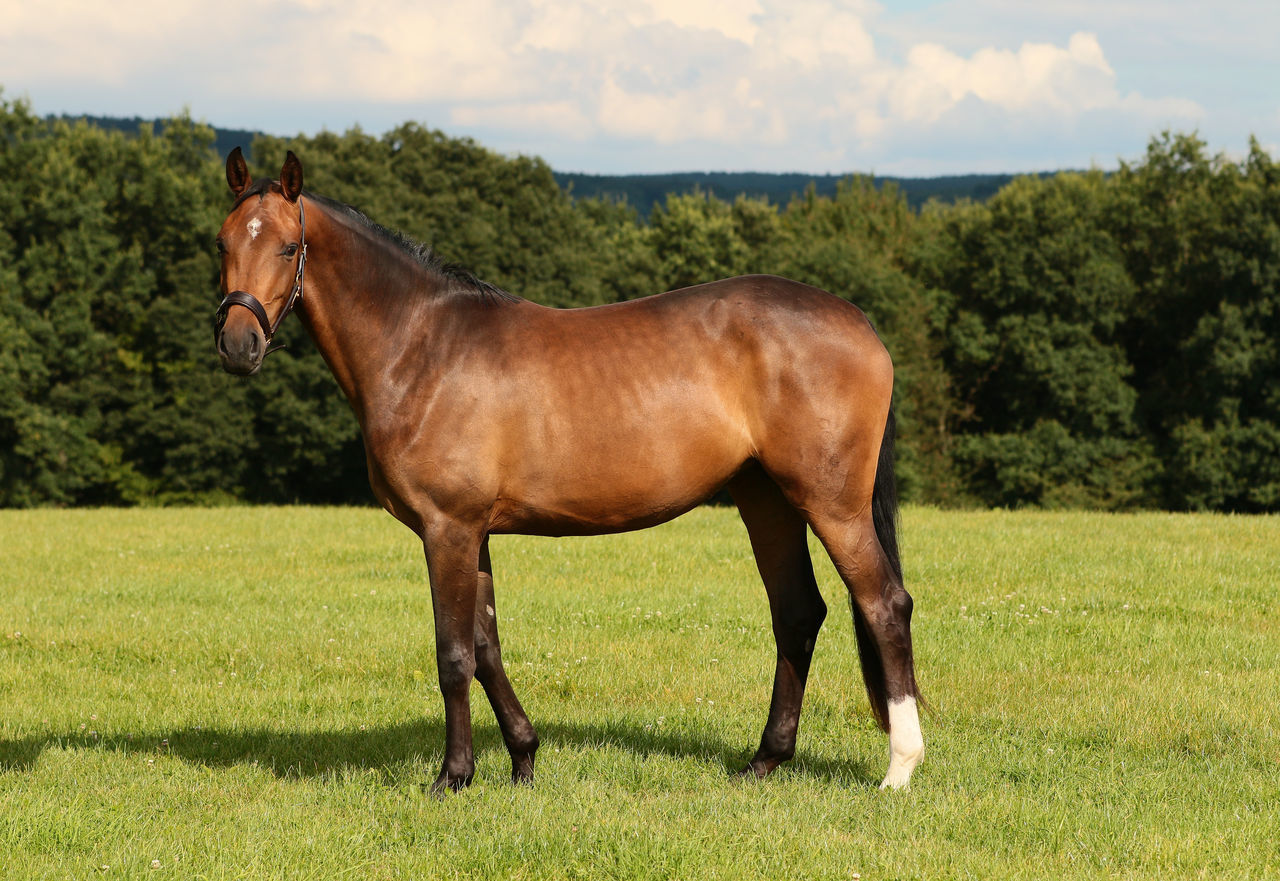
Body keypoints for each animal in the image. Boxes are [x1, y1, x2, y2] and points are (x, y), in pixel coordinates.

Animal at [215, 149, 926, 793]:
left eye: (287, 247)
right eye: (219, 243)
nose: (237, 347)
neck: (423, 345)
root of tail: (859, 323)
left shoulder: (447, 529)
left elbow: (453, 654)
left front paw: (453, 776)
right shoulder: (473, 534)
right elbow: (486, 647)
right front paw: (524, 760)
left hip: (831, 504)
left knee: (884, 604)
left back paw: (899, 770)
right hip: (767, 499)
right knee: (798, 614)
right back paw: (764, 762)